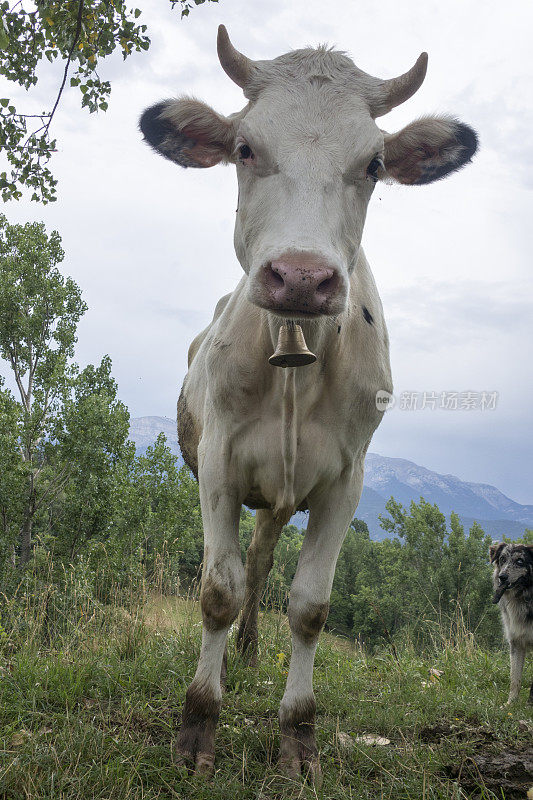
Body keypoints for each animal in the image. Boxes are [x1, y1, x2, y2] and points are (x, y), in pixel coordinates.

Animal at [138, 26, 478, 780]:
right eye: (244, 148)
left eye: (374, 163)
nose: (300, 276)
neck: (294, 363)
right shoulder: (217, 463)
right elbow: (217, 590)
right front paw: (198, 724)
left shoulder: (345, 479)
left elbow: (310, 607)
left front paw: (297, 735)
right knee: (245, 573)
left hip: (281, 496)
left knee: (265, 565)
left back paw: (249, 654)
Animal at [490, 540, 532, 704]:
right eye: (502, 559)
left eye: (520, 561)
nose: (502, 577)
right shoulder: (516, 642)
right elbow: (515, 679)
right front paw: (510, 704)